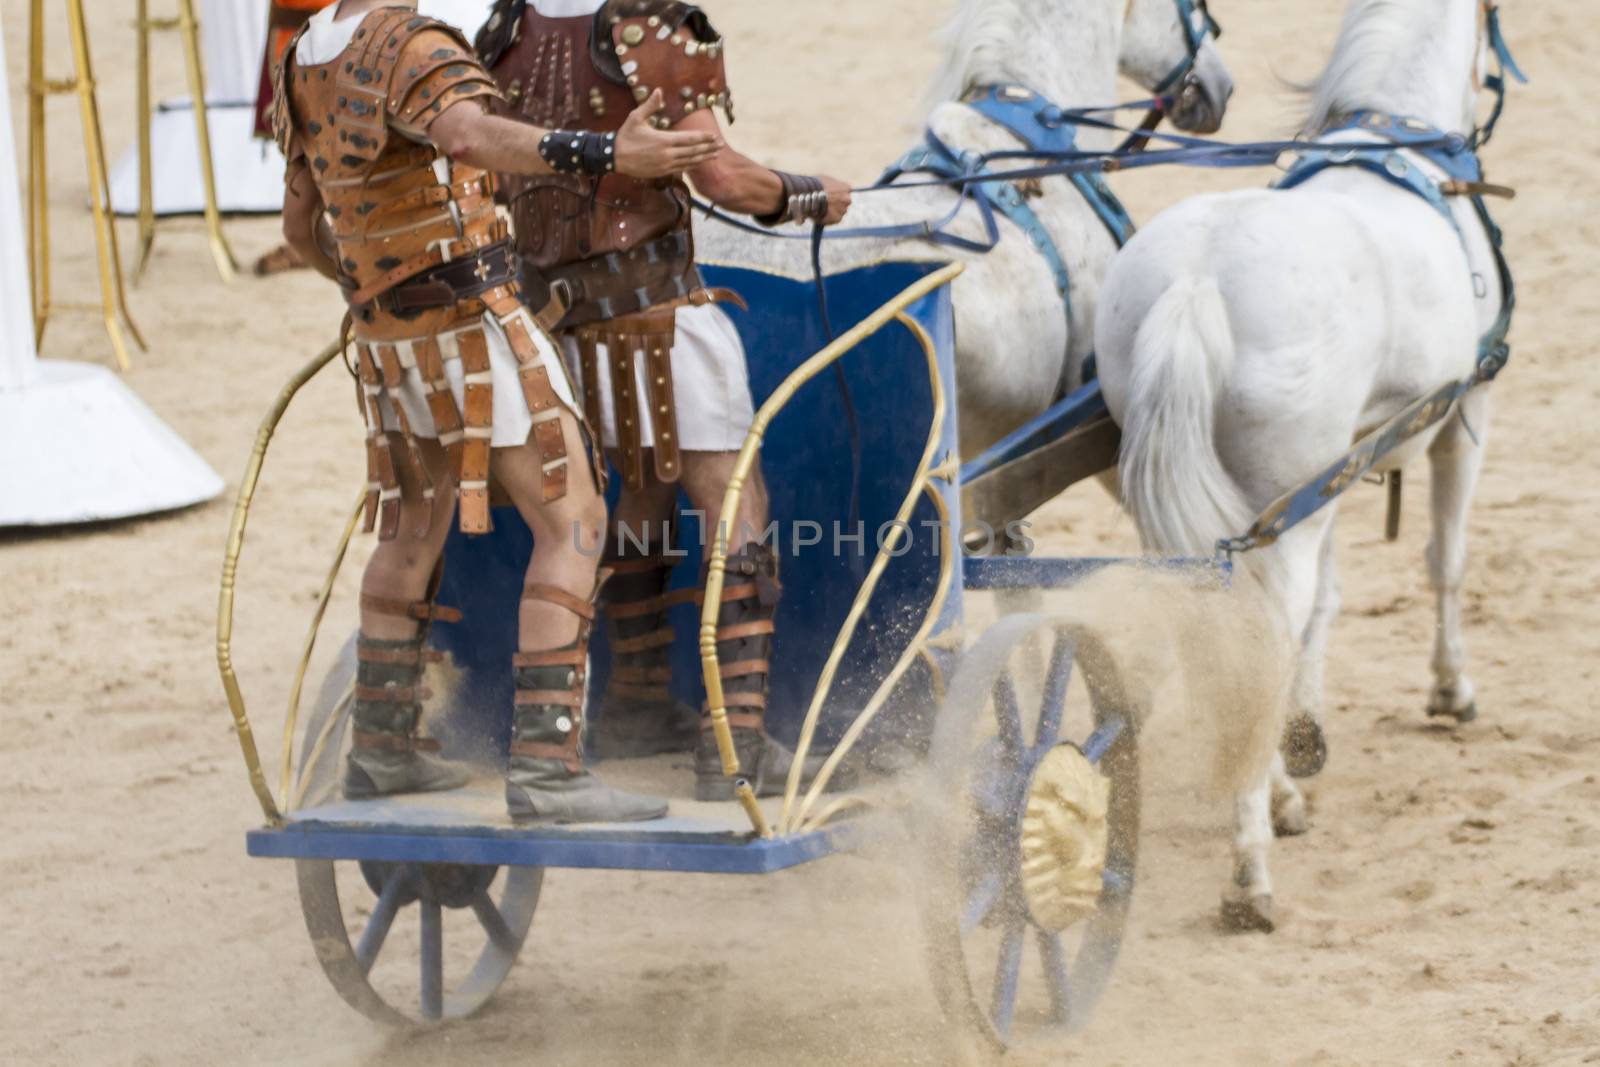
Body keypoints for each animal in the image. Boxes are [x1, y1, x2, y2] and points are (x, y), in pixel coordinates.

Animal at [1094, 0, 1504, 927]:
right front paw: (1452, 688)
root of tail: (1197, 280)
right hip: (1280, 512)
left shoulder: (1342, 473)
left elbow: (1328, 604)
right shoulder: (1463, 423)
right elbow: (1447, 560)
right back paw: (1252, 863)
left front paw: (1306, 733)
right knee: (1261, 634)